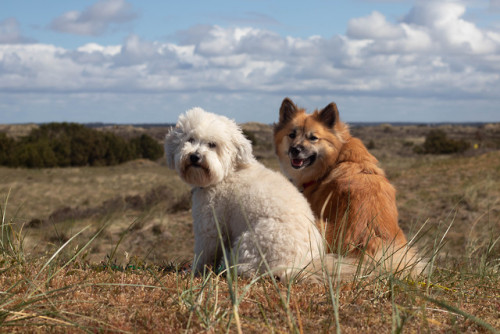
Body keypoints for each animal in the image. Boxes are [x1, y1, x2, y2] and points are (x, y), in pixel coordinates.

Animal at [165, 108, 328, 280]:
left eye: (212, 145)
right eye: (190, 139)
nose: (194, 156)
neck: (227, 173)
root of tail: (295, 267)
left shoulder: (210, 225)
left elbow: (204, 255)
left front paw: (192, 272)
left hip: (249, 243)